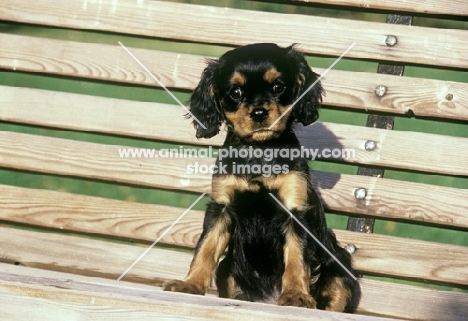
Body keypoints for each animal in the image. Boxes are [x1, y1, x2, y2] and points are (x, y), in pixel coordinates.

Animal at [164, 42, 354, 310]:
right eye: (235, 92)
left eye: (278, 87)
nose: (259, 113)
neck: (258, 149)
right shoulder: (221, 207)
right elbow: (205, 247)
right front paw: (190, 284)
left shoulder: (295, 210)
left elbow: (296, 257)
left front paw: (296, 294)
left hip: (340, 263)